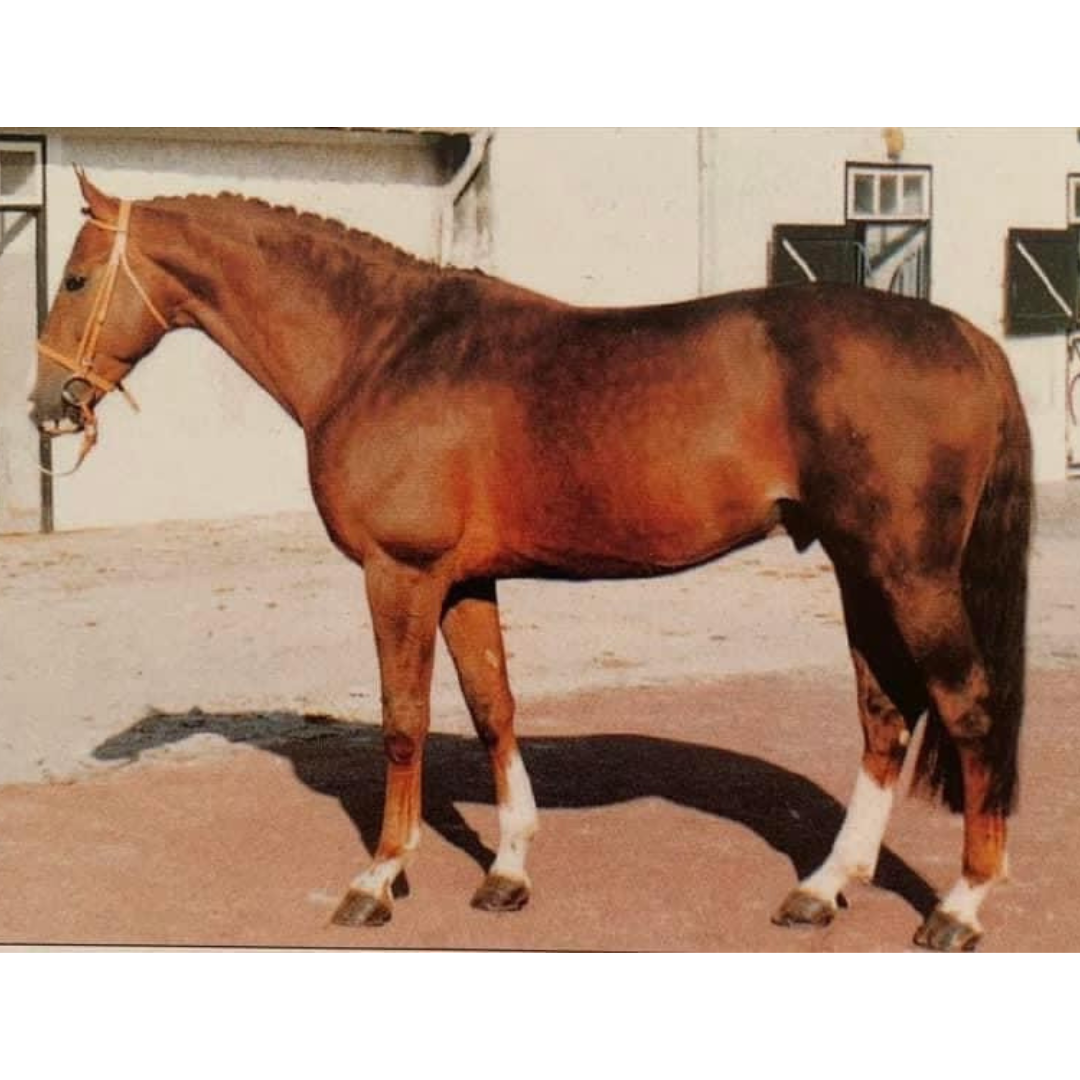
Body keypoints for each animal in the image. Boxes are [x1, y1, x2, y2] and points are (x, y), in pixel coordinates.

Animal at [29, 171, 1033, 951]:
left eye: (76, 277)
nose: (46, 405)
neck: (379, 347)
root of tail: (970, 339)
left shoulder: (401, 573)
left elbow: (403, 721)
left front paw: (378, 880)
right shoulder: (466, 581)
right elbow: (492, 708)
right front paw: (506, 871)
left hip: (911, 574)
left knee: (967, 709)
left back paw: (958, 907)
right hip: (861, 568)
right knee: (885, 716)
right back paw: (822, 889)